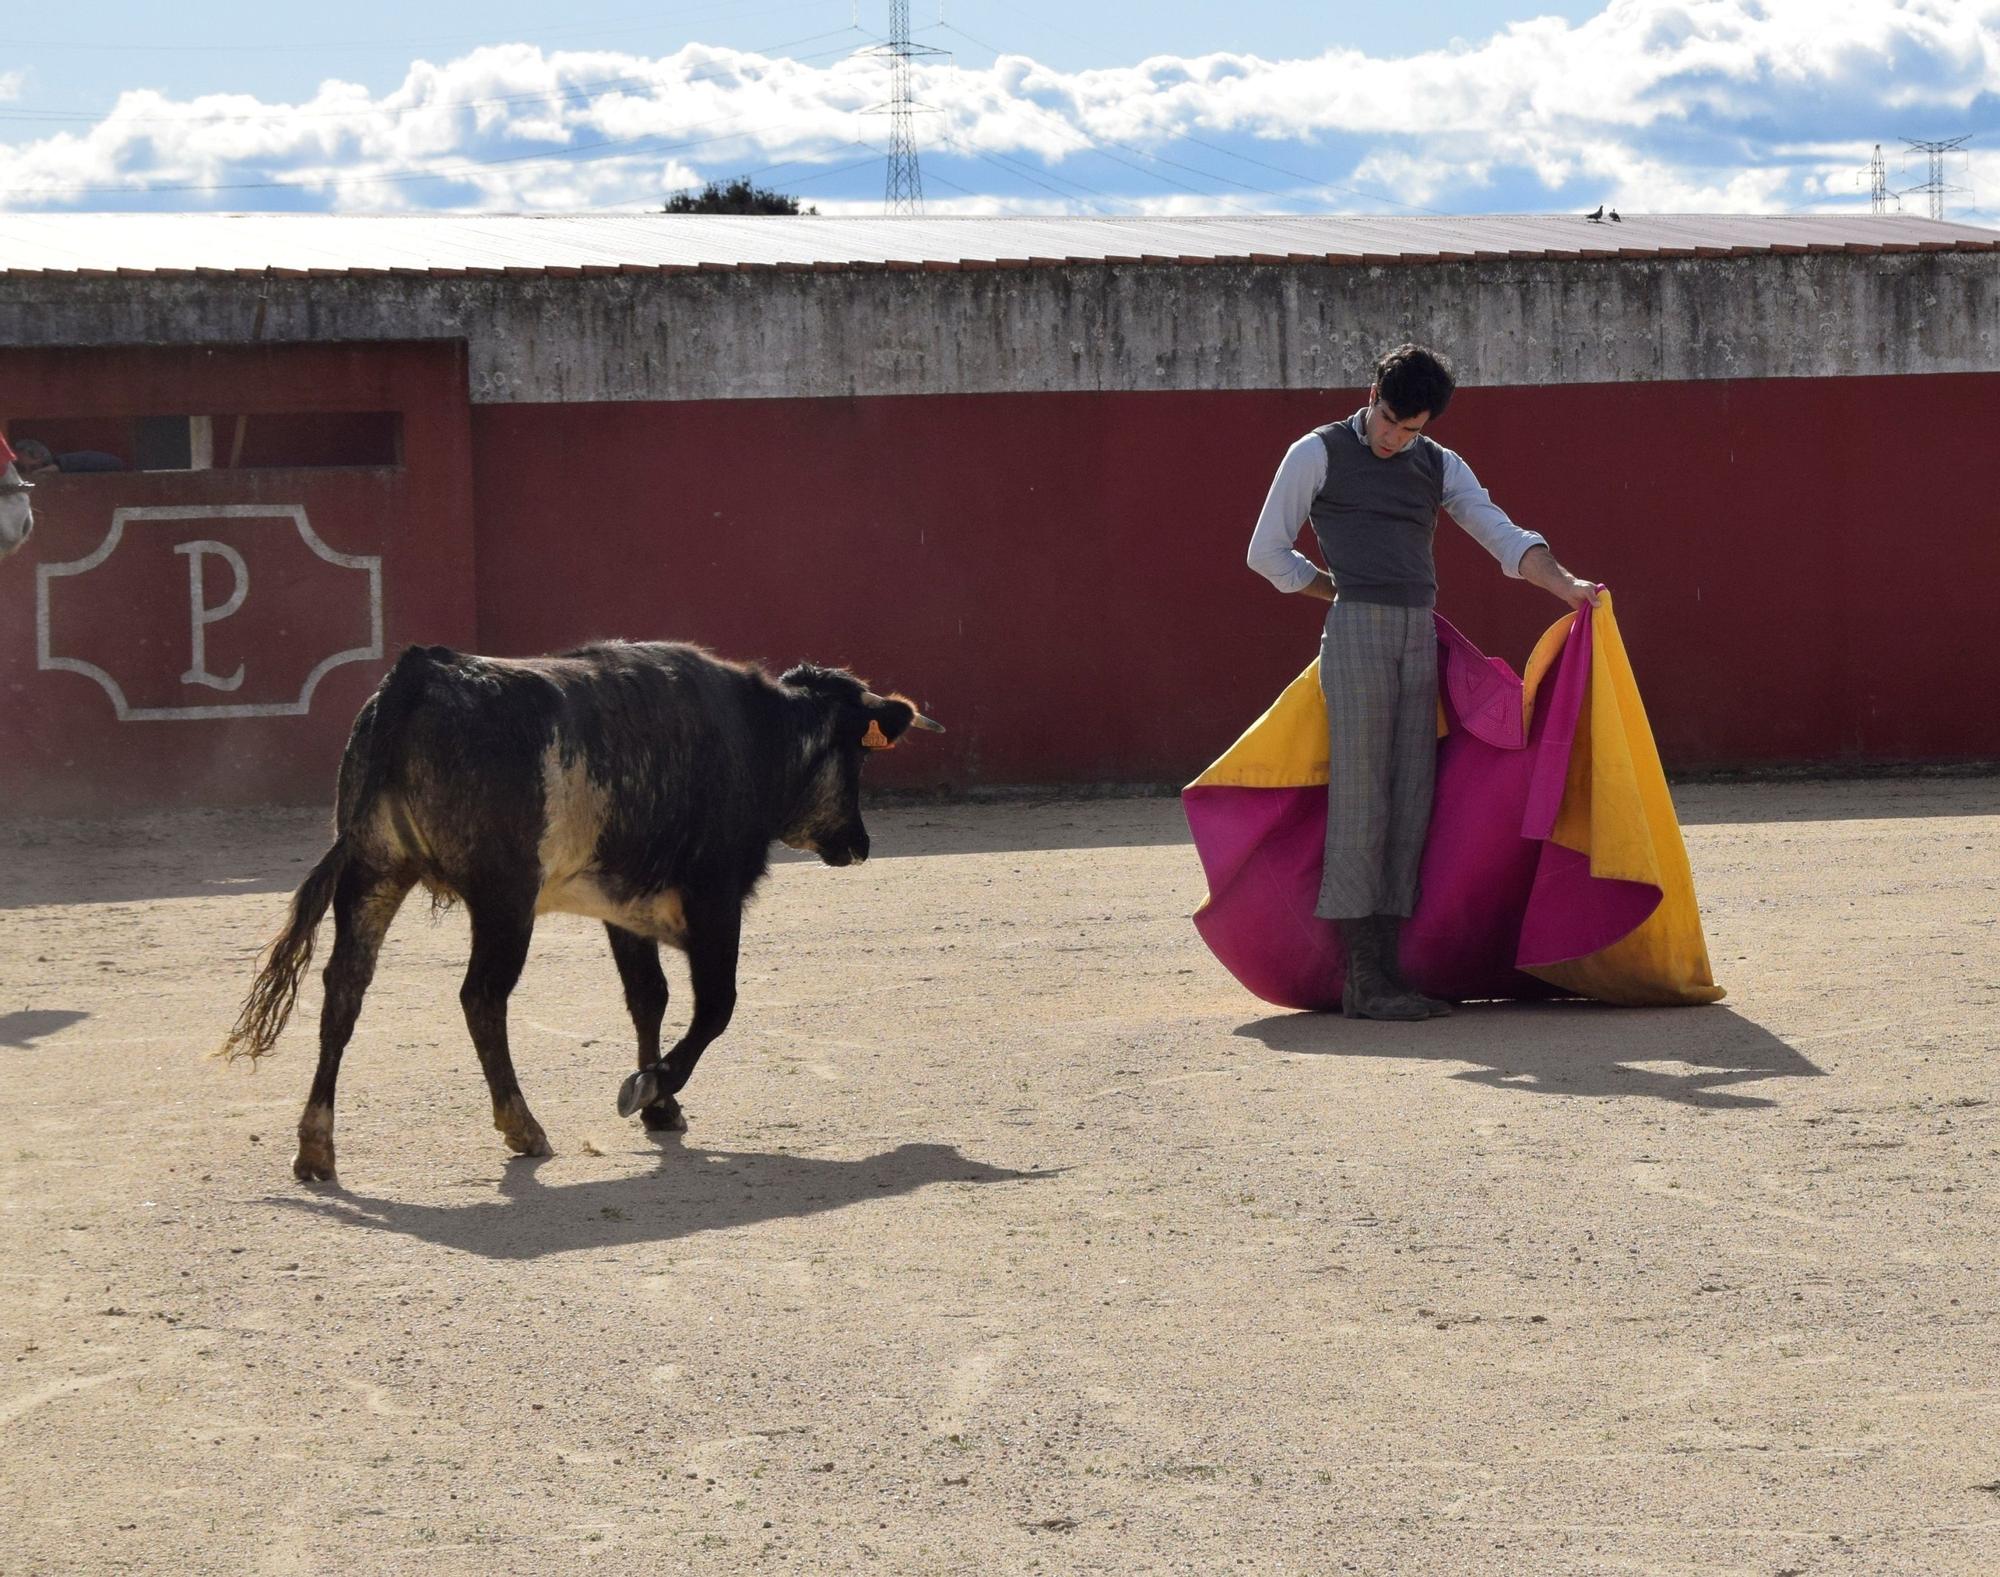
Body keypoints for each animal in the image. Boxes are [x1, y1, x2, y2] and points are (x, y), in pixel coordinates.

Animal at [223, 640, 940, 1184]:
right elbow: (716, 1005)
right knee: (481, 997)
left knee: (344, 989)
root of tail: (417, 675)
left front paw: (661, 1106)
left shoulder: (625, 906)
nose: (860, 843)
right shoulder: (715, 895)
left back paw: (316, 1147)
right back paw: (523, 1126)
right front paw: (649, 1088)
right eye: (858, 754)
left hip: (374, 873)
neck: (759, 737)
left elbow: (648, 996)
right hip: (503, 899)